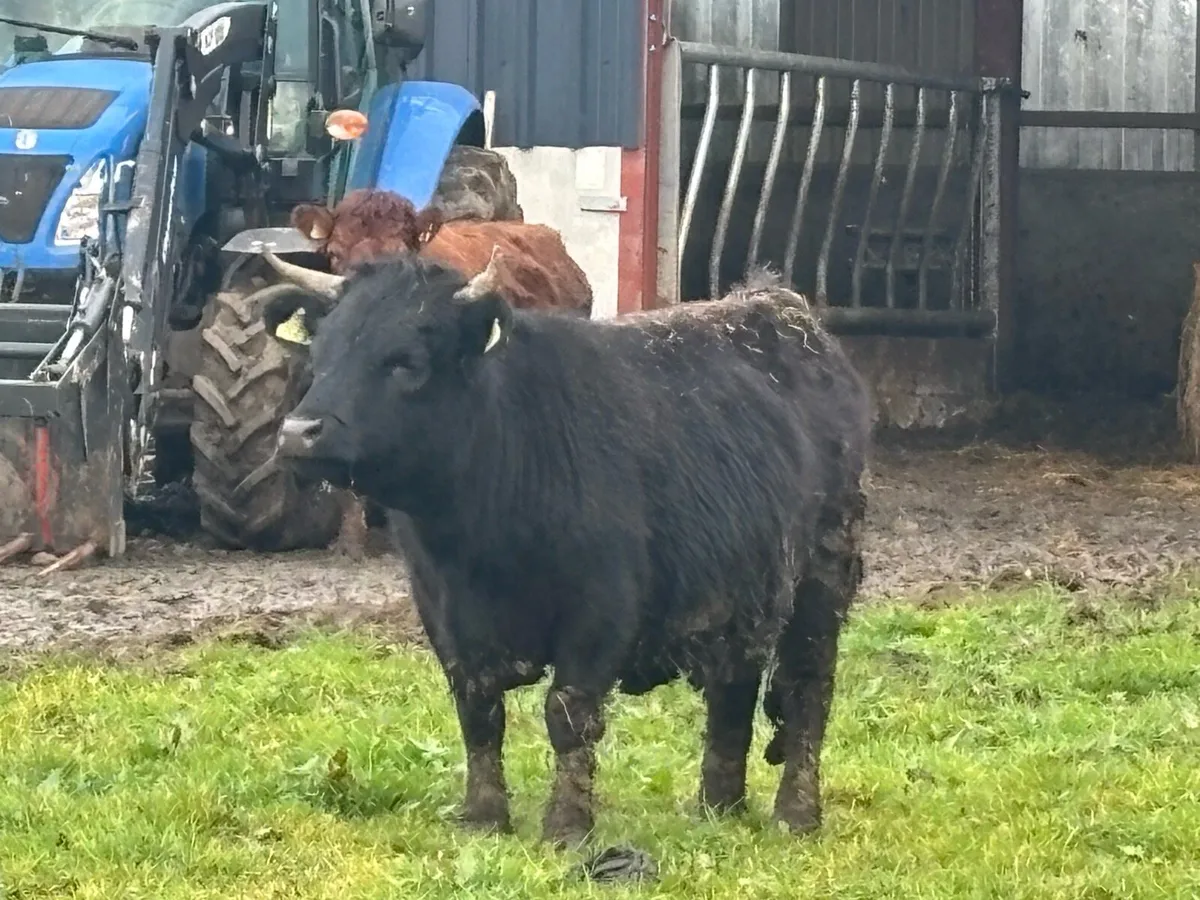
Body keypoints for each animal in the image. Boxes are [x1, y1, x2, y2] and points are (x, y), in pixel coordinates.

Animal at [264, 254, 872, 847]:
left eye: (406, 362)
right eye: (320, 353)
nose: (298, 432)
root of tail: (781, 309)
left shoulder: (600, 614)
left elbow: (568, 716)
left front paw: (566, 829)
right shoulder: (443, 615)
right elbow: (477, 714)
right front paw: (484, 819)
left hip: (822, 578)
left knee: (806, 689)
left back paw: (796, 815)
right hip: (741, 589)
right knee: (733, 690)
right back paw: (716, 807)